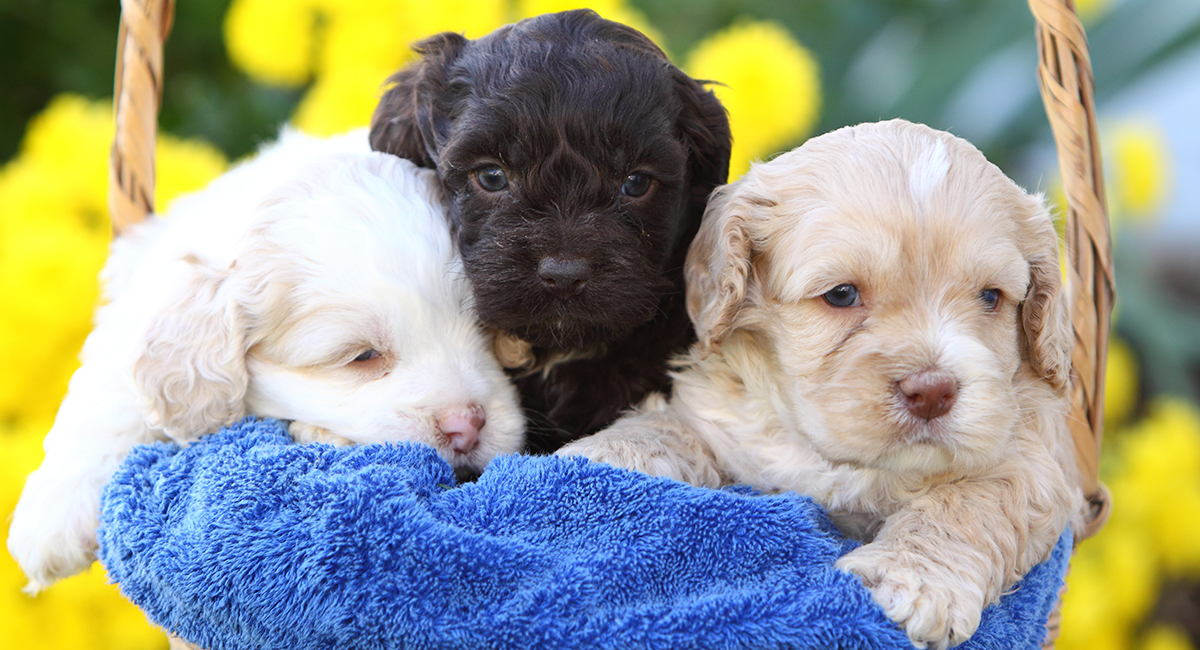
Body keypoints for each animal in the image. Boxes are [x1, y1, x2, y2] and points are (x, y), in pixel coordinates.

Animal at [561, 121, 1089, 647]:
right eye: (841, 294)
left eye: (990, 297)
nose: (932, 391)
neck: (834, 458)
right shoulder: (724, 421)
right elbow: (673, 428)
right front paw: (607, 454)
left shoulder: (1033, 462)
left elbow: (968, 502)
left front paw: (908, 578)